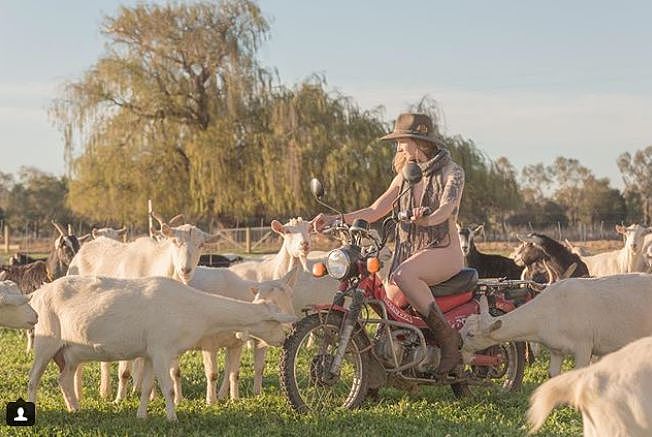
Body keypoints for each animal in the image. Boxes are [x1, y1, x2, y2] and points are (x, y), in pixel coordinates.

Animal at [26, 274, 296, 420]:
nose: (285, 338)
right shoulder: (161, 349)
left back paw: (75, 409)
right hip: (46, 341)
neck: (196, 310)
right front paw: (172, 417)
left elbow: (147, 387)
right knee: (33, 379)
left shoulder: (149, 353)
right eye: (274, 322)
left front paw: (142, 416)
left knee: (64, 379)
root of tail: (37, 294)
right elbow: (167, 386)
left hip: (69, 353)